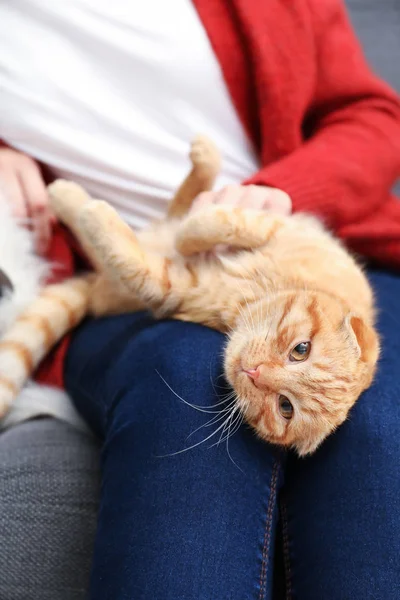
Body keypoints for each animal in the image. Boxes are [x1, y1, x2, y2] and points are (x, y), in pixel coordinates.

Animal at [0, 136, 380, 454]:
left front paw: (98, 215)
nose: (255, 372)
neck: (260, 291)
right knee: (179, 208)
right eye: (301, 350)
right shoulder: (279, 227)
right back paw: (201, 161)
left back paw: (75, 200)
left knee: (113, 245)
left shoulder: (176, 289)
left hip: (115, 285)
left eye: (285, 407)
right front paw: (190, 233)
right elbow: (218, 221)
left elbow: (136, 262)